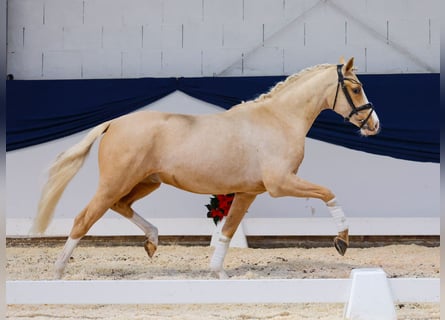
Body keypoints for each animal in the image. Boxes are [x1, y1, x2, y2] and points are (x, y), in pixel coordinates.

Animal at [31, 57, 378, 278]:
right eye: (356, 88)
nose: (374, 124)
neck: (278, 120)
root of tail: (114, 122)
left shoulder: (248, 192)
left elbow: (226, 231)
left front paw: (218, 273)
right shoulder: (281, 184)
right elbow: (328, 193)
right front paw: (342, 241)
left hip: (146, 182)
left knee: (121, 206)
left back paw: (152, 241)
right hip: (116, 182)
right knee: (84, 218)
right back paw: (58, 271)